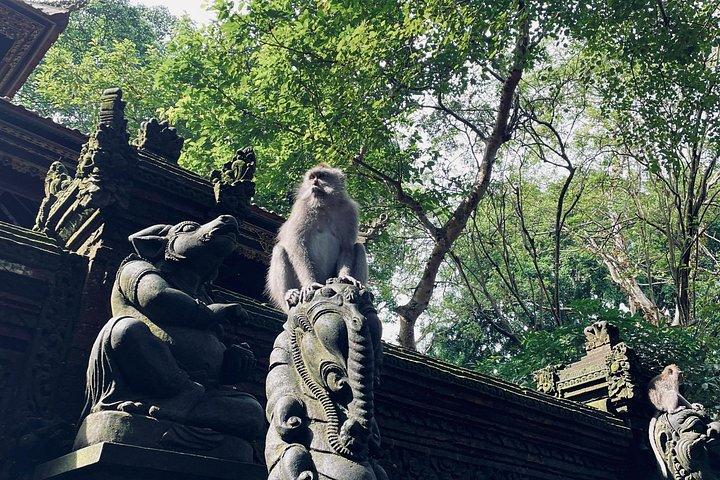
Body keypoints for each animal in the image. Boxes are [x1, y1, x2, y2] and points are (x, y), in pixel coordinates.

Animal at [266, 164, 368, 311]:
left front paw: (345, 277)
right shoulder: (302, 208)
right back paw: (290, 295)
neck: (325, 205)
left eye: (321, 176)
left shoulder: (349, 211)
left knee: (359, 247)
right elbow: (296, 245)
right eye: (312, 177)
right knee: (280, 250)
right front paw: (310, 283)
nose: (314, 183)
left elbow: (346, 247)